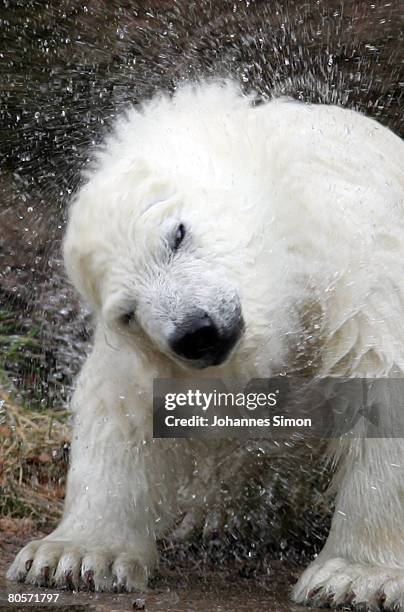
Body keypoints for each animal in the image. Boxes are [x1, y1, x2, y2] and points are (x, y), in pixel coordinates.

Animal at [7, 80, 404, 608]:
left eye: (177, 233)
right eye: (127, 314)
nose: (195, 332)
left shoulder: (358, 272)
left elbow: (382, 389)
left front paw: (355, 577)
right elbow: (123, 407)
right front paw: (72, 556)